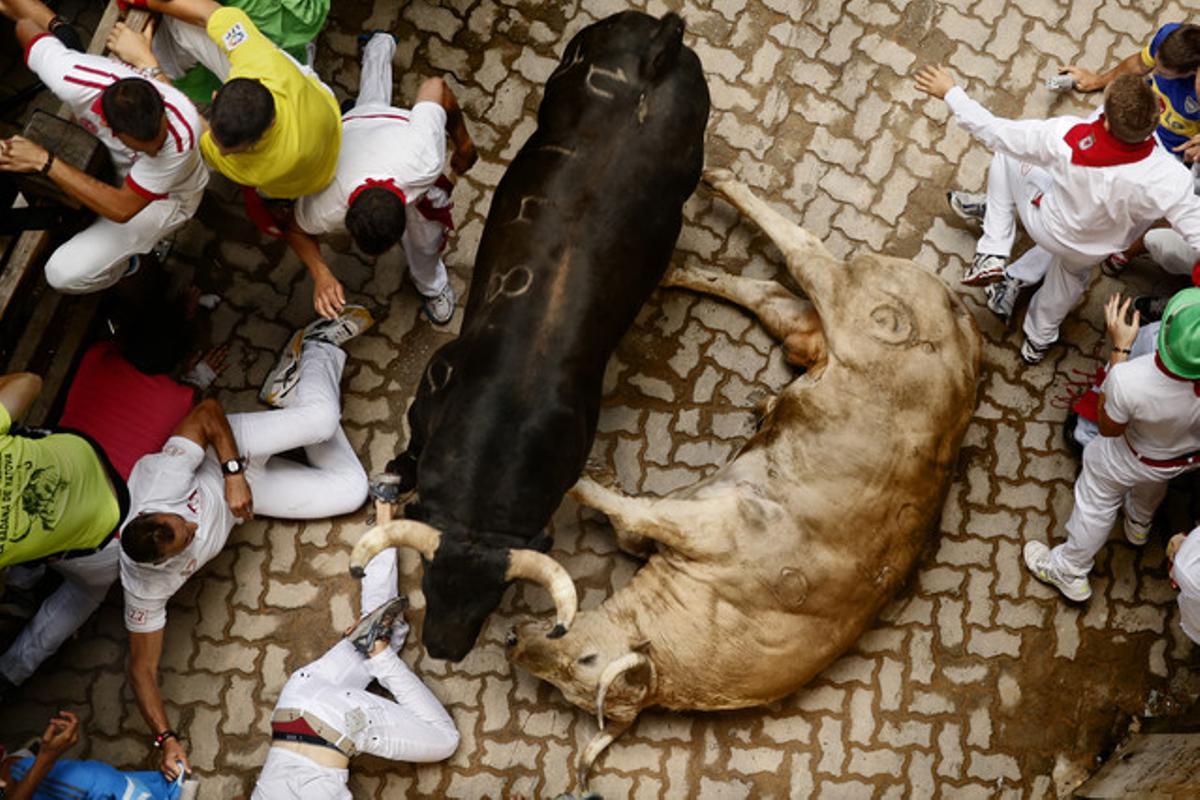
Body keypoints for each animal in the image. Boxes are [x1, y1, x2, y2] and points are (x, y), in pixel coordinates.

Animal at [350, 12, 715, 662]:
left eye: (494, 597)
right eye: (431, 577)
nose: (443, 649)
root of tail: (657, 46)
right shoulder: (431, 386)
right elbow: (410, 449)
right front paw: (397, 468)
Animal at [506, 170, 984, 786]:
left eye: (583, 667)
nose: (514, 640)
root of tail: (966, 325)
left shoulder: (697, 521)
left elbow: (623, 509)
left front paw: (576, 479)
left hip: (847, 305)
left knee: (801, 254)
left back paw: (710, 198)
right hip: (815, 333)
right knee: (773, 283)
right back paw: (683, 260)